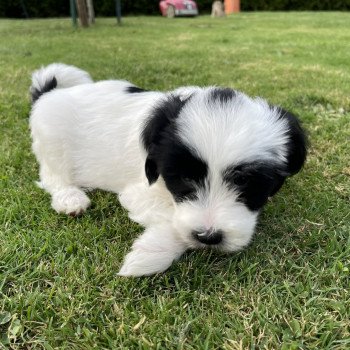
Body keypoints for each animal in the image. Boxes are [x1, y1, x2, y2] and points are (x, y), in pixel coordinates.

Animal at [30, 63, 308, 276]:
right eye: (185, 178)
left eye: (245, 183)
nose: (209, 237)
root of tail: (48, 92)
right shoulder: (140, 190)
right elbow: (176, 222)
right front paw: (150, 254)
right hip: (54, 140)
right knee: (52, 175)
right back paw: (70, 198)